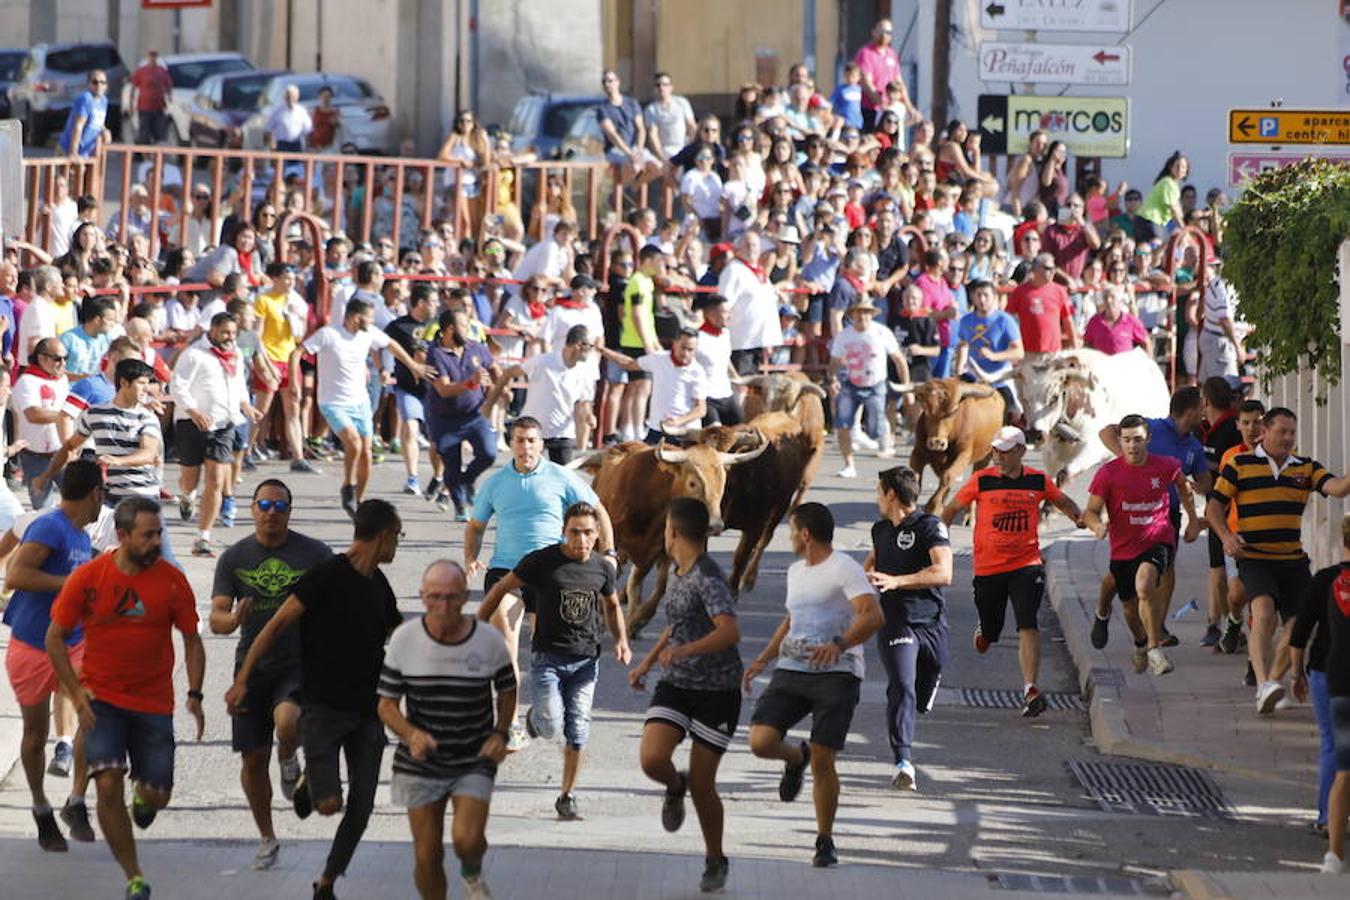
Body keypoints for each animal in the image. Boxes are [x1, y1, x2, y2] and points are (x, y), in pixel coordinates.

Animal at [569, 439, 766, 636]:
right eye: (693, 483)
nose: (716, 525)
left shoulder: (659, 550)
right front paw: (606, 618)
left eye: (722, 483)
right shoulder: (613, 543)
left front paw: (636, 621)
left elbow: (655, 586)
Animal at [696, 412, 810, 599]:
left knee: (764, 541)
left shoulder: (755, 526)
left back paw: (748, 579)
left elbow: (740, 556)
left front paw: (733, 590)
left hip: (781, 505)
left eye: (725, 454)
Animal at [896, 377, 1004, 510]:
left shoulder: (964, 454)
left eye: (953, 412)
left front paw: (934, 506)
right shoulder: (918, 453)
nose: (936, 442)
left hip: (984, 458)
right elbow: (916, 475)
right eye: (925, 410)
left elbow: (948, 477)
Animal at [1015, 345, 1166, 485]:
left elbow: (1064, 474)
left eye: (1054, 397)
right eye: (1025, 399)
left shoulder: (1093, 446)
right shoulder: (1050, 455)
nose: (1034, 434)